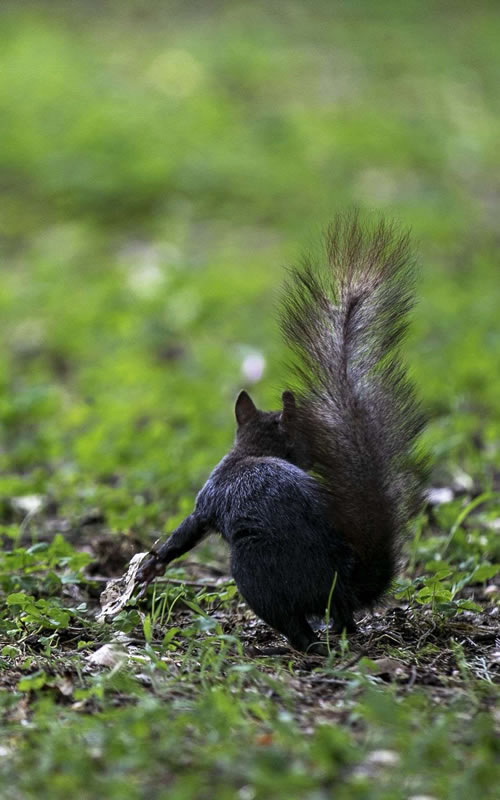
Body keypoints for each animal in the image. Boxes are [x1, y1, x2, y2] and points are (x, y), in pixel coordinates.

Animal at [135, 211, 428, 648]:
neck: (253, 450)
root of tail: (342, 583)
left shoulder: (209, 495)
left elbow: (187, 531)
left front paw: (154, 563)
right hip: (327, 600)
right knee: (344, 621)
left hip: (254, 571)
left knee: (294, 624)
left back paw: (294, 642)